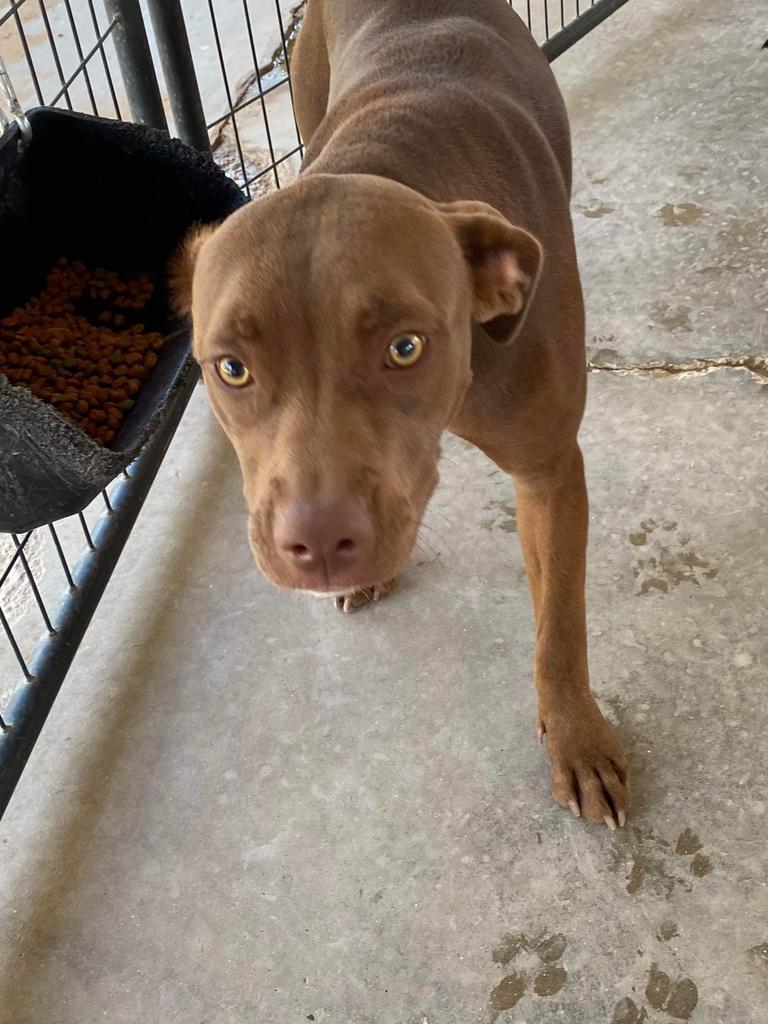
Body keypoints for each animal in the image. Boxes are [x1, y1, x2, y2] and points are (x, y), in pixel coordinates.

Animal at [174, 0, 630, 827]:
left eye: (406, 346)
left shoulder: (550, 469)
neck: (388, 157)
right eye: (231, 368)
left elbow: (560, 627)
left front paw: (577, 737)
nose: (319, 543)